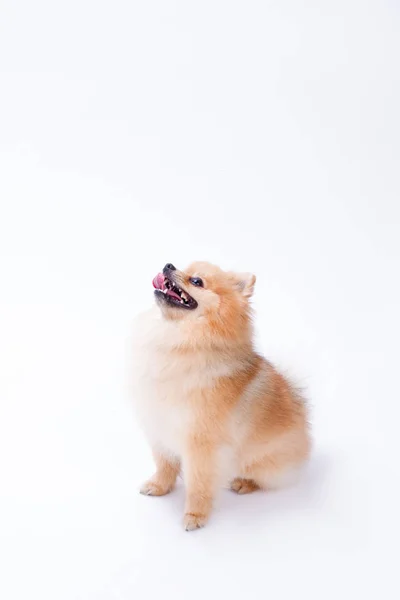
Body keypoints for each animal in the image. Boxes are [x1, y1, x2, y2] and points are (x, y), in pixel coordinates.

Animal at [131, 262, 310, 528]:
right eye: (181, 266)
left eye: (197, 281)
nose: (168, 265)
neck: (182, 339)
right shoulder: (160, 424)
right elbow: (165, 463)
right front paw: (159, 486)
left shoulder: (202, 444)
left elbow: (198, 483)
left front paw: (195, 515)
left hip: (262, 462)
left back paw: (243, 482)